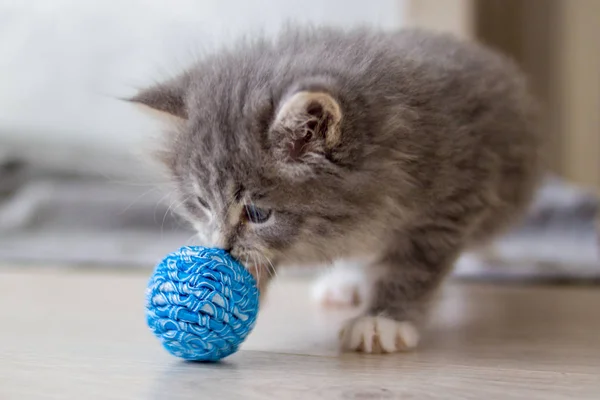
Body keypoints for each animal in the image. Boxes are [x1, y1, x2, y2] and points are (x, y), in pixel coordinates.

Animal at [131, 26, 544, 354]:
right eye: (202, 203)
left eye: (258, 213)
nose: (219, 249)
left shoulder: (453, 199)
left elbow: (413, 267)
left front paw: (383, 319)